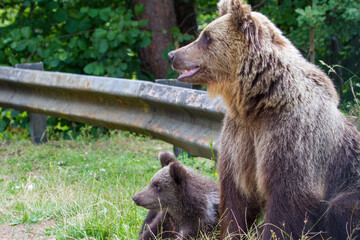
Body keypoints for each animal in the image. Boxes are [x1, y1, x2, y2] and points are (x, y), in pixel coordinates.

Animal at [169, 0, 360, 239]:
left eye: (206, 36)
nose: (172, 55)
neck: (260, 102)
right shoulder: (240, 135)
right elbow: (235, 196)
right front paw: (232, 231)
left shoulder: (291, 135)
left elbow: (288, 197)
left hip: (351, 182)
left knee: (341, 207)